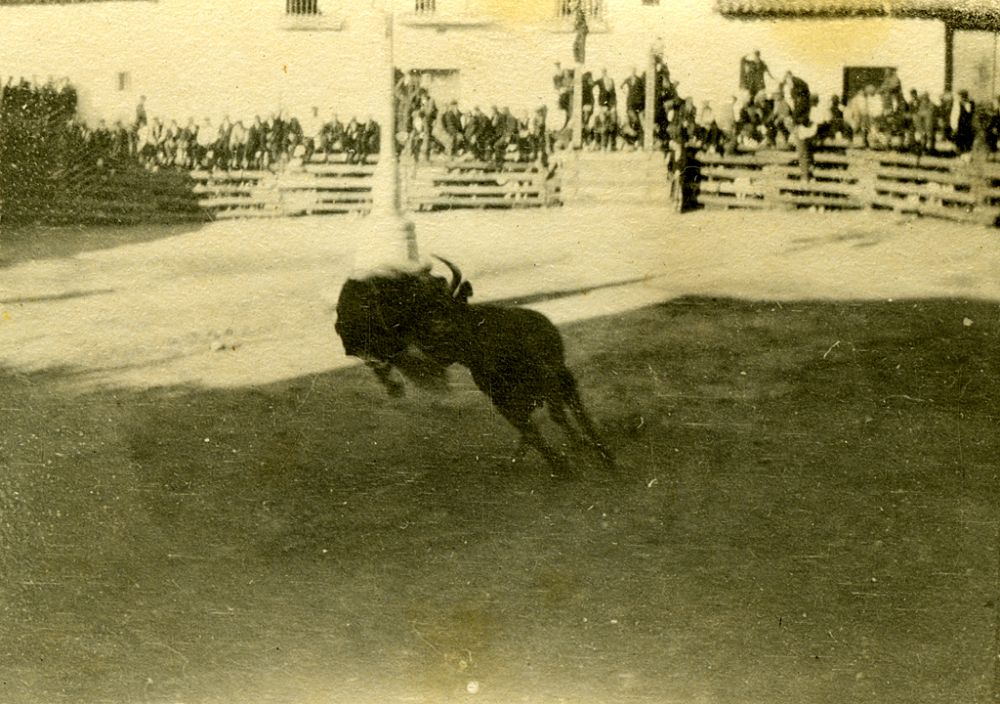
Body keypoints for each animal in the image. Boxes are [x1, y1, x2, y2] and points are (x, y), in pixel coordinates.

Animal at [334, 260, 616, 472]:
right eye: (426, 314)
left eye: (448, 308)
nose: (432, 337)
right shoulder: (501, 400)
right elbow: (530, 430)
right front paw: (559, 464)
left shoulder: (547, 380)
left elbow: (556, 417)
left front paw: (591, 452)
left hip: (561, 377)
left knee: (572, 408)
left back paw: (597, 449)